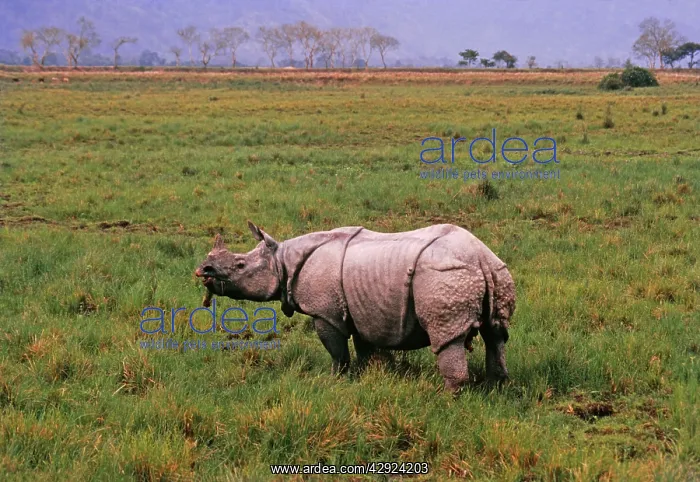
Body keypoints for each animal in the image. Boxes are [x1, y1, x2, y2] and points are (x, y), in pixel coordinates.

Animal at [195, 221, 515, 392]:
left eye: (240, 265)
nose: (204, 270)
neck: (282, 259)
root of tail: (481, 258)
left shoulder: (325, 313)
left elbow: (336, 350)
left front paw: (335, 380)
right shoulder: (364, 310)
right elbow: (366, 348)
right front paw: (373, 375)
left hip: (444, 275)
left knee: (448, 336)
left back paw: (447, 397)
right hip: (496, 271)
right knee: (496, 335)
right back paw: (497, 387)